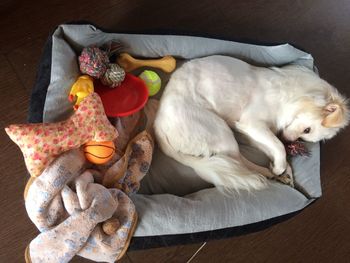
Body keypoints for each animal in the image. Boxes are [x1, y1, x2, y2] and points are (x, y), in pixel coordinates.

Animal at [154, 55, 348, 192]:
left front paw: (280, 166)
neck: (295, 94)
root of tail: (158, 124)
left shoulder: (252, 131)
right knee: (238, 161)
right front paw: (278, 167)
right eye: (307, 130)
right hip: (221, 132)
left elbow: (273, 148)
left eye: (305, 135)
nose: (288, 141)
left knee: (238, 162)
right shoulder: (252, 124)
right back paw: (268, 174)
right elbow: (279, 147)